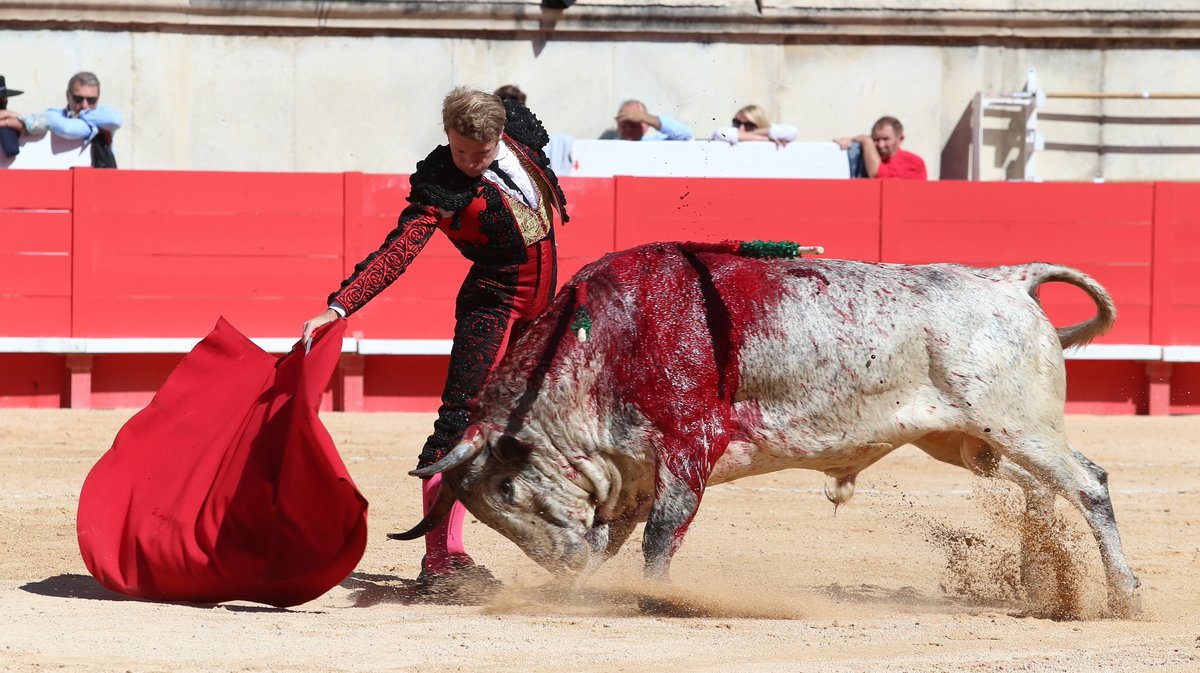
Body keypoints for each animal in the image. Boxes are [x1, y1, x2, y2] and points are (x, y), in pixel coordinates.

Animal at [396, 239, 1142, 614]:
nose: (561, 565)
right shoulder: (631, 471)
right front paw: (582, 591)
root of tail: (1007, 281)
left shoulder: (687, 449)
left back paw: (1123, 598)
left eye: (507, 490)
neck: (605, 342)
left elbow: (660, 537)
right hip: (967, 442)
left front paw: (656, 599)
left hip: (1016, 424)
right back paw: (1042, 587)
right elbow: (613, 538)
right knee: (1041, 487)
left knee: (1088, 481)